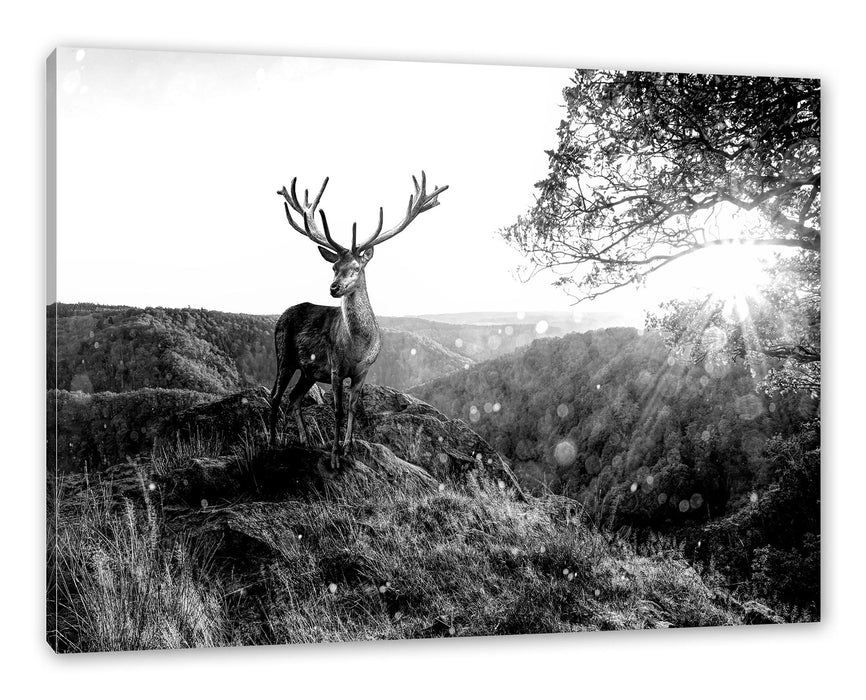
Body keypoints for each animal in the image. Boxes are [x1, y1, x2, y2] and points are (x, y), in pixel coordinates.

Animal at [268, 171, 446, 470]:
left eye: (356, 267)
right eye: (333, 266)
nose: (334, 288)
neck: (357, 347)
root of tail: (281, 317)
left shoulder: (364, 370)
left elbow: (353, 407)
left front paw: (349, 448)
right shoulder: (336, 367)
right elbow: (338, 410)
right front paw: (334, 458)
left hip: (308, 370)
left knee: (294, 398)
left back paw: (305, 441)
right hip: (284, 354)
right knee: (276, 396)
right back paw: (271, 443)